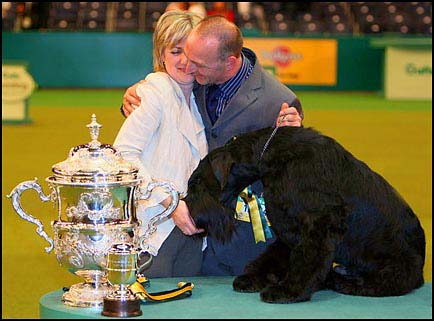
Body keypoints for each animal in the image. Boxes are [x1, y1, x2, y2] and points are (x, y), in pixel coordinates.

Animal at [185, 125, 426, 302]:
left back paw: (339, 282)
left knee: (378, 284)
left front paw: (289, 291)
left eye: (196, 181)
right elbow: (276, 256)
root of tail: (421, 269)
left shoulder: (319, 223)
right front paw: (254, 278)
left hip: (394, 268)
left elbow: (308, 258)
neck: (270, 157)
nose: (189, 214)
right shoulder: (289, 228)